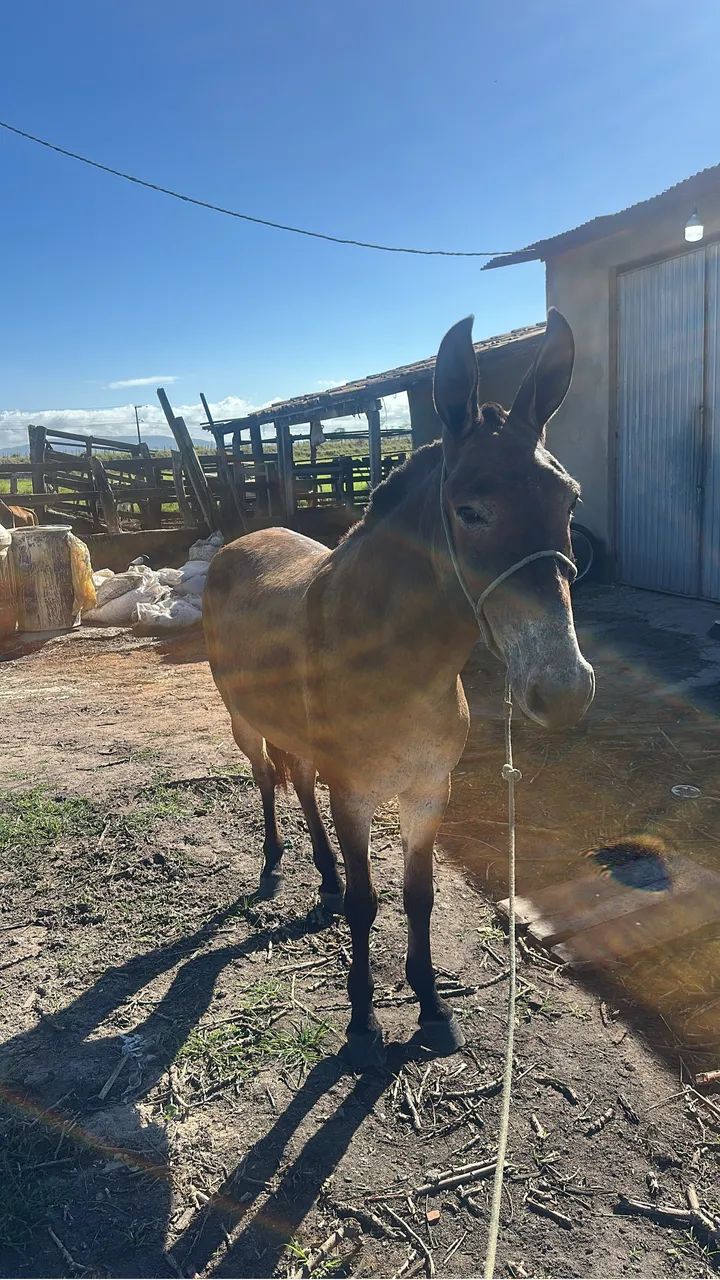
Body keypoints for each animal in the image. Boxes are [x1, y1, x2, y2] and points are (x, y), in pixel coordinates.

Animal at [203, 310, 595, 1067]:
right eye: (469, 510)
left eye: (570, 498)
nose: (565, 689)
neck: (397, 667)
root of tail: (240, 542)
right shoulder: (355, 796)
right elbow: (368, 905)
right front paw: (362, 1023)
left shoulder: (427, 793)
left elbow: (419, 899)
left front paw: (432, 1009)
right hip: (244, 720)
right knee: (267, 780)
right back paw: (276, 862)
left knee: (299, 782)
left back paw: (323, 877)